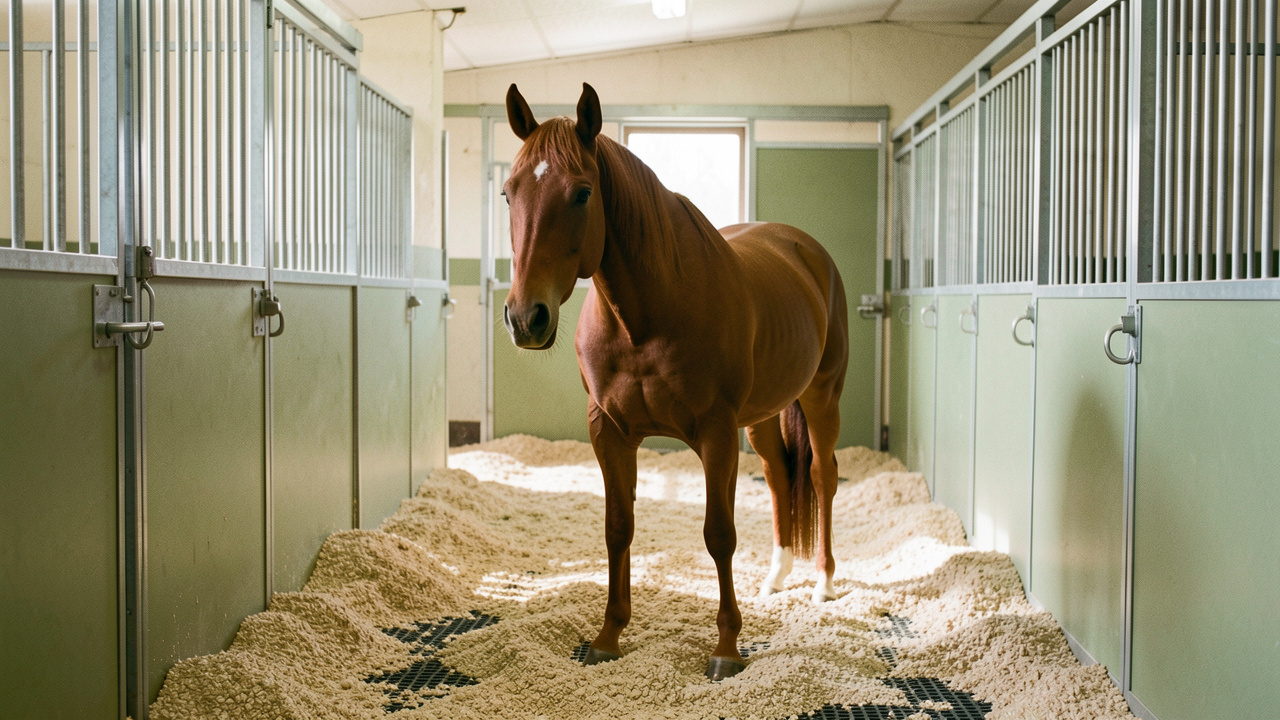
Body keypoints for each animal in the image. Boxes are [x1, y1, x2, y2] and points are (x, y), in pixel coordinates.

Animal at [500, 82, 849, 681]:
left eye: (583, 193)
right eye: (507, 194)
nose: (527, 318)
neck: (646, 315)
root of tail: (807, 251)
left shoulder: (714, 432)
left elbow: (719, 535)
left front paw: (727, 648)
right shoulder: (609, 431)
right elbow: (618, 526)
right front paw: (608, 635)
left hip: (820, 398)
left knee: (821, 477)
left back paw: (822, 583)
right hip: (759, 419)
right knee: (779, 478)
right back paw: (776, 577)